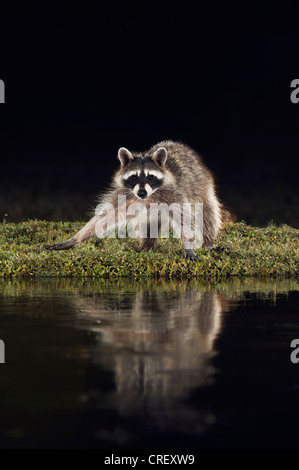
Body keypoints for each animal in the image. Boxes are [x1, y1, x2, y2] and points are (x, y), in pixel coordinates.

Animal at [44, 140, 232, 260]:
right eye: (134, 177)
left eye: (151, 177)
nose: (141, 192)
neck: (148, 196)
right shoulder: (125, 195)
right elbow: (105, 216)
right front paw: (75, 238)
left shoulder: (173, 194)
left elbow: (184, 218)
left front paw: (188, 245)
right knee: (148, 223)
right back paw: (147, 246)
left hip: (202, 186)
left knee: (207, 213)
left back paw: (208, 241)